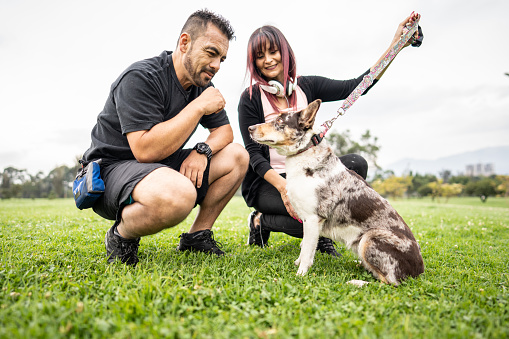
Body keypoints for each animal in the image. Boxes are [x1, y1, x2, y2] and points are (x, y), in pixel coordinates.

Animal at [248, 99, 422, 286]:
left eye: (280, 121)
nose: (249, 128)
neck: (305, 152)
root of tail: (419, 271)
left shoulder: (312, 219)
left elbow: (307, 250)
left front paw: (300, 274)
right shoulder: (306, 220)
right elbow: (305, 248)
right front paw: (297, 264)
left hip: (370, 238)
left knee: (390, 283)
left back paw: (357, 282)